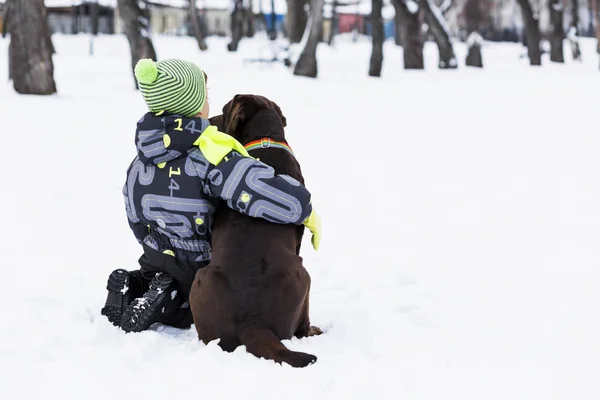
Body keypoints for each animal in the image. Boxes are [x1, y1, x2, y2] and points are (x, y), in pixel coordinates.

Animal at [191, 94, 324, 368]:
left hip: (201, 279)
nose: (208, 122)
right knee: (300, 328)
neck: (265, 141)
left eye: (222, 111)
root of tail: (251, 323)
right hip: (304, 277)